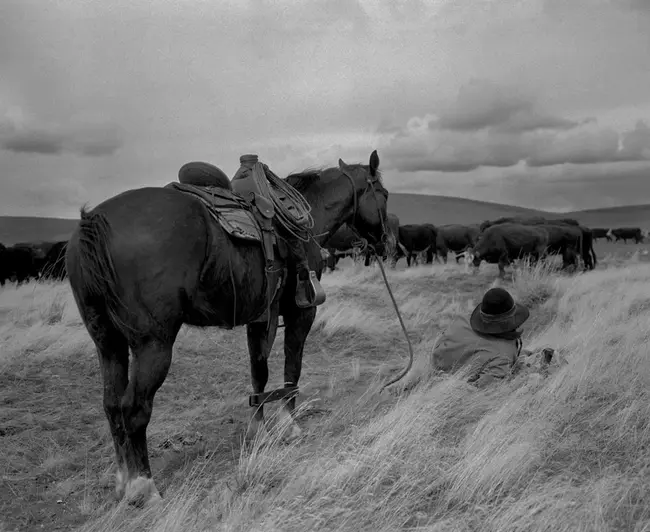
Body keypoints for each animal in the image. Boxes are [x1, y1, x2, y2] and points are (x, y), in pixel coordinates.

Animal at [64, 149, 390, 508]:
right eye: (384, 195)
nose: (388, 242)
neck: (308, 218)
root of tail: (94, 222)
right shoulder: (300, 314)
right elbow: (292, 368)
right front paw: (289, 425)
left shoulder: (259, 319)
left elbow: (259, 374)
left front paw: (258, 430)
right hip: (153, 346)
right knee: (133, 409)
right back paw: (143, 486)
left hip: (108, 344)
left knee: (111, 406)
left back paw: (123, 481)